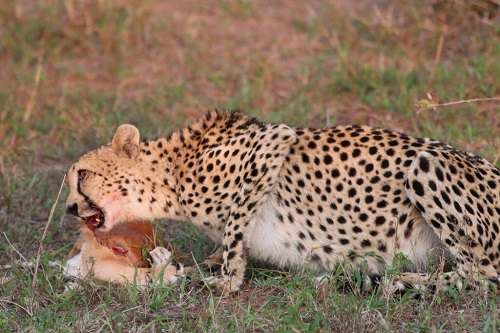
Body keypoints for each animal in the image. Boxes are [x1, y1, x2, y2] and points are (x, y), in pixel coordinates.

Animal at [64, 110, 498, 292]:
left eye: (81, 175)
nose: (69, 208)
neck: (170, 175)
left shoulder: (273, 141)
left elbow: (236, 227)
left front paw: (226, 279)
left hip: (426, 163)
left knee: (482, 272)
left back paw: (397, 280)